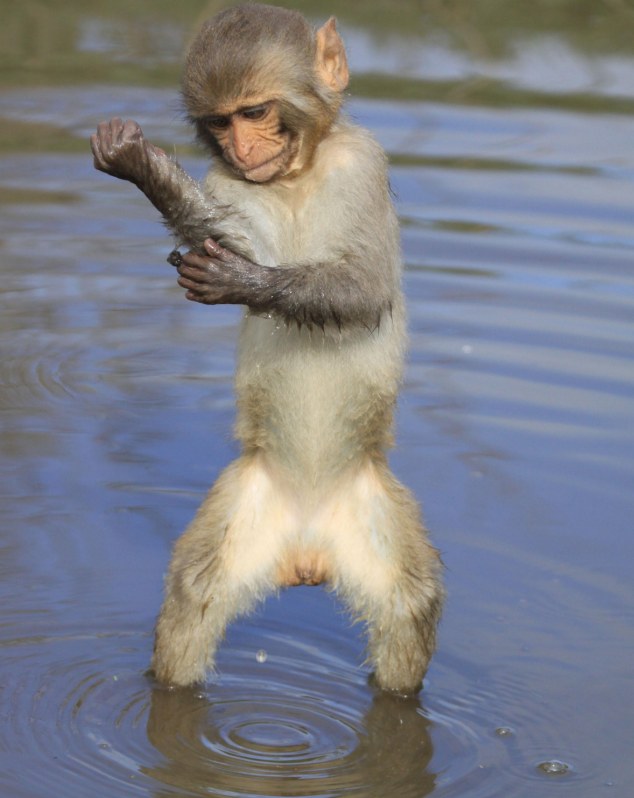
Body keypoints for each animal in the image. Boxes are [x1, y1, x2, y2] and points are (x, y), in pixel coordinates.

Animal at [90, 4, 443, 695]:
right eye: (220, 121)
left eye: (253, 112)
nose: (241, 145)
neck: (295, 178)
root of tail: (307, 553)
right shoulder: (227, 181)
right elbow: (235, 233)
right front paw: (145, 168)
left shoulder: (362, 163)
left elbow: (364, 287)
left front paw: (242, 281)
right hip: (246, 509)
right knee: (192, 595)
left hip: (372, 515)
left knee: (411, 610)